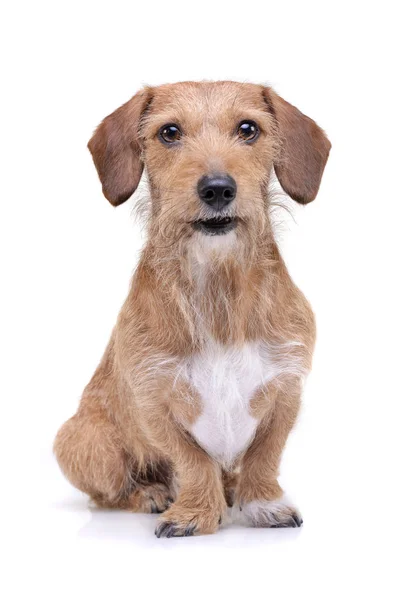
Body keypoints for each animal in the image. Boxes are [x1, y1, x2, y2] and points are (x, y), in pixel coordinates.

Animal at [53, 81, 330, 540]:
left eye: (248, 129)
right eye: (169, 132)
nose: (217, 188)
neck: (219, 287)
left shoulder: (285, 389)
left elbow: (264, 456)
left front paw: (263, 502)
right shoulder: (155, 400)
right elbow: (192, 460)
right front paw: (194, 512)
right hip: (87, 444)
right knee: (108, 492)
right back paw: (150, 493)